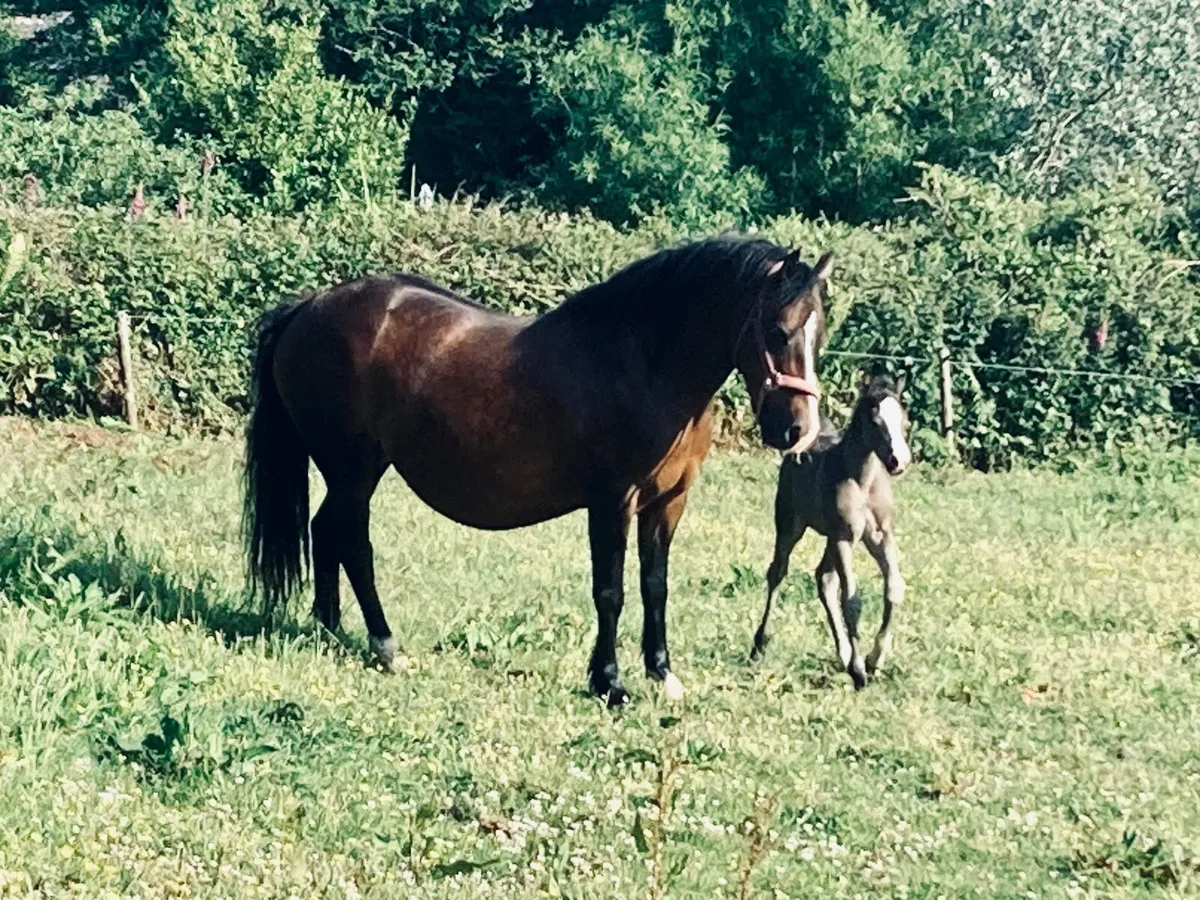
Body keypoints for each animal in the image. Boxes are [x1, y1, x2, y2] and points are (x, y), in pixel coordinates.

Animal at [242, 237, 833, 706]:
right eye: (777, 331)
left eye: (819, 334)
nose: (797, 430)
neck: (645, 363)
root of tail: (309, 306)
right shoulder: (612, 500)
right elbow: (610, 591)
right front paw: (609, 683)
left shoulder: (668, 501)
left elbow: (655, 585)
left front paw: (662, 674)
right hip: (354, 470)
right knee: (350, 541)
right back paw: (385, 646)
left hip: (349, 473)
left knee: (325, 532)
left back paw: (330, 629)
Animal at [750, 374, 911, 689]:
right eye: (875, 421)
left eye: (905, 421)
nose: (899, 461)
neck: (863, 481)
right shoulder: (844, 538)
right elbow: (852, 600)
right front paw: (860, 671)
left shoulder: (880, 535)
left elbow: (894, 588)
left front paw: (874, 659)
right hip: (791, 524)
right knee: (778, 572)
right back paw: (759, 645)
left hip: (830, 539)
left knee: (824, 578)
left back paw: (844, 654)